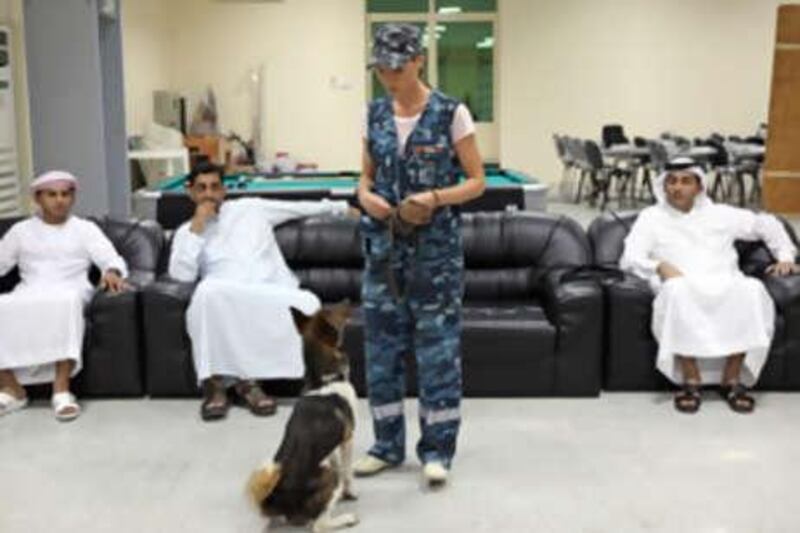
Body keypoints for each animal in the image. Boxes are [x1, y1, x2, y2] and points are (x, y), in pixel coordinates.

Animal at [247, 302, 360, 528]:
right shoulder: (348, 439)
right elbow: (347, 471)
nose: (348, 300)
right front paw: (350, 492)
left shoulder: (333, 446)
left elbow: (335, 459)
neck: (323, 381)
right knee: (320, 525)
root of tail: (277, 502)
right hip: (329, 476)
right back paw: (346, 518)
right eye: (336, 310)